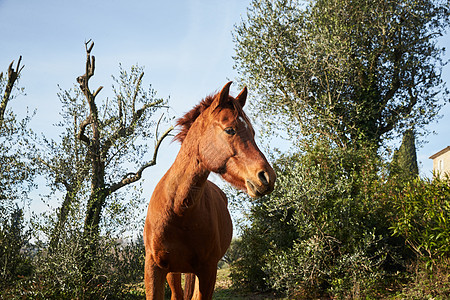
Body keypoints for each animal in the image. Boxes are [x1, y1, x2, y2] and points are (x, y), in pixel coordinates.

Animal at [144, 82, 276, 300]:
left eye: (253, 133)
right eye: (230, 130)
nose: (267, 177)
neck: (178, 209)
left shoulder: (208, 271)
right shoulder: (154, 268)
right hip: (173, 272)